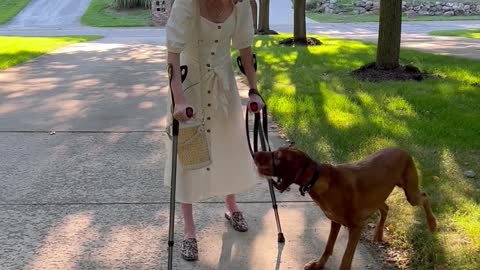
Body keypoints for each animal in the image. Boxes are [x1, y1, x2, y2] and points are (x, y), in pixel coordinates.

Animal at [253, 147, 436, 270]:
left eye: (277, 156)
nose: (254, 154)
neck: (319, 180)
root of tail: (402, 149)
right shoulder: (335, 222)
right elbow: (328, 246)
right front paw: (318, 264)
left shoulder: (356, 228)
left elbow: (346, 259)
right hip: (378, 196)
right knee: (385, 207)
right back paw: (378, 234)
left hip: (410, 193)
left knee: (425, 197)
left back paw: (433, 224)